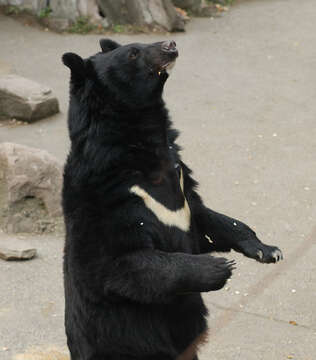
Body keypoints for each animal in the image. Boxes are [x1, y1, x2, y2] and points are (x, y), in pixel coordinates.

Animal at [62, 39, 284, 360]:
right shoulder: (106, 198)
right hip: (128, 343)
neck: (140, 145)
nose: (170, 44)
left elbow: (209, 218)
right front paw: (219, 268)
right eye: (133, 53)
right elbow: (115, 262)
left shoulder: (182, 181)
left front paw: (268, 250)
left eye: (136, 44)